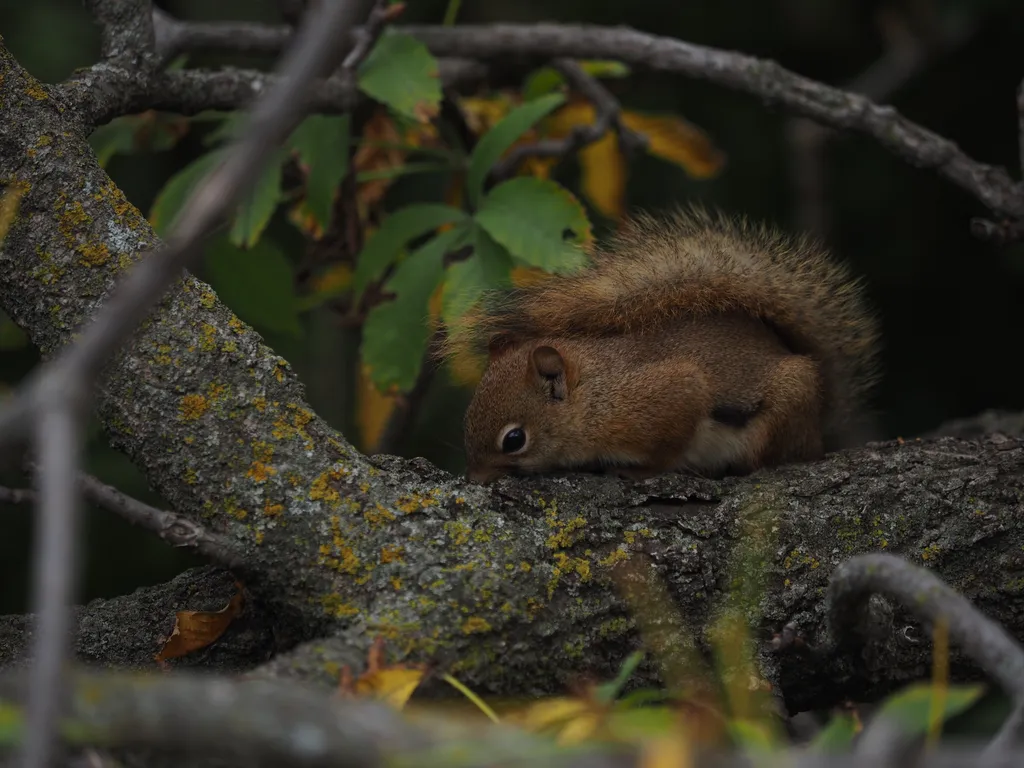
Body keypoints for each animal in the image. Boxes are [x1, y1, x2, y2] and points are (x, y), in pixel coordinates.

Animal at [444, 207, 884, 483]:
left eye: (513, 440)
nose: (475, 478)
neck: (593, 397)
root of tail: (818, 427)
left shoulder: (668, 396)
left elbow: (669, 447)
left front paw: (640, 471)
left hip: (787, 402)